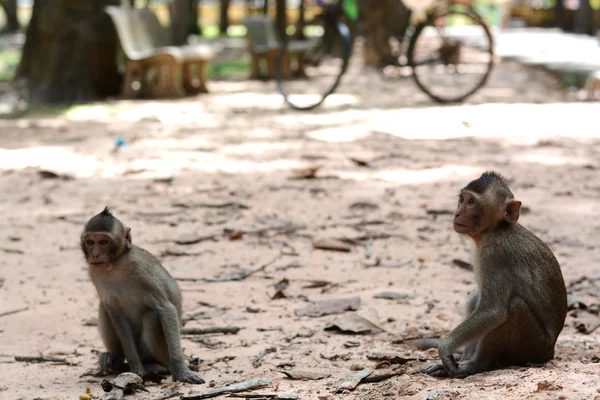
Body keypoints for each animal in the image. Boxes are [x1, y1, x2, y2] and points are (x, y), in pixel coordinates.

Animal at [81, 208, 205, 382]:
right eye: (90, 242)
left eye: (104, 242)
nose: (95, 254)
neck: (115, 266)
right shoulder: (95, 274)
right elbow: (115, 314)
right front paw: (136, 369)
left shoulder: (142, 271)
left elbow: (165, 308)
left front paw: (181, 370)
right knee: (104, 307)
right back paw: (115, 358)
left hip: (162, 352)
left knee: (150, 316)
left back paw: (158, 366)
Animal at [422, 171, 568, 378]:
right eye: (462, 199)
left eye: (471, 202)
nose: (457, 213)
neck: (496, 230)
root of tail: (551, 351)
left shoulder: (495, 254)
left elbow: (493, 311)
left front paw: (445, 347)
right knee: (478, 297)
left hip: (534, 346)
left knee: (513, 306)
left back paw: (478, 365)